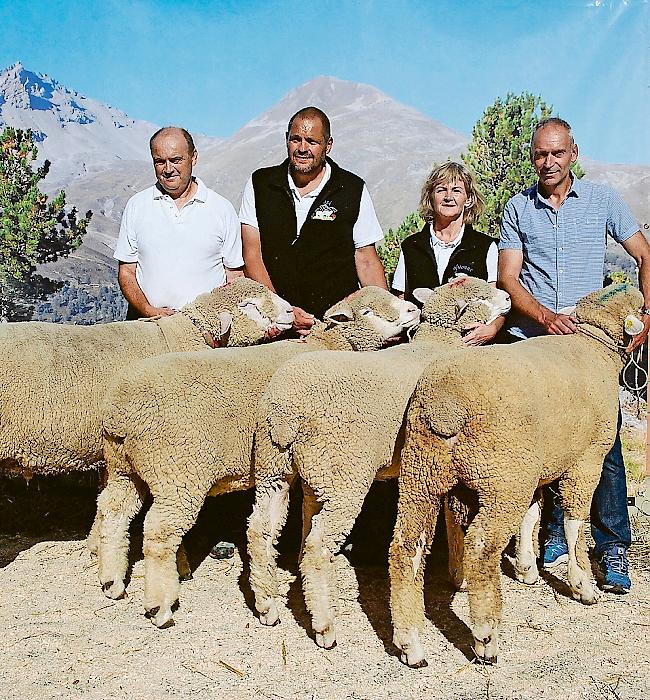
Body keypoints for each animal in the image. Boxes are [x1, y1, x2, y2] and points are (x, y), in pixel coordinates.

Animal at [92, 286, 420, 628]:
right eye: (367, 312)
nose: (413, 310)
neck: (328, 346)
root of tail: (121, 409)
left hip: (125, 468)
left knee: (114, 511)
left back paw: (112, 582)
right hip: (179, 474)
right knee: (158, 533)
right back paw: (160, 607)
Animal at [246, 276, 508, 648]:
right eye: (481, 297)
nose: (507, 297)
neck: (437, 343)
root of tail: (287, 411)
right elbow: (452, 516)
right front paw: (460, 574)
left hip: (276, 467)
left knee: (260, 530)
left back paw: (268, 605)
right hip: (345, 477)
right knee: (318, 547)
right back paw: (325, 626)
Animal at [384, 284, 644, 668]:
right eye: (641, 308)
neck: (592, 346)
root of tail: (446, 406)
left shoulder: (533, 469)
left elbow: (531, 515)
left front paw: (526, 569)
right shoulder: (587, 459)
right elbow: (574, 521)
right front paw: (582, 584)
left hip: (425, 475)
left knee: (406, 547)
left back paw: (410, 643)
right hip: (499, 477)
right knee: (481, 547)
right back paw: (485, 638)